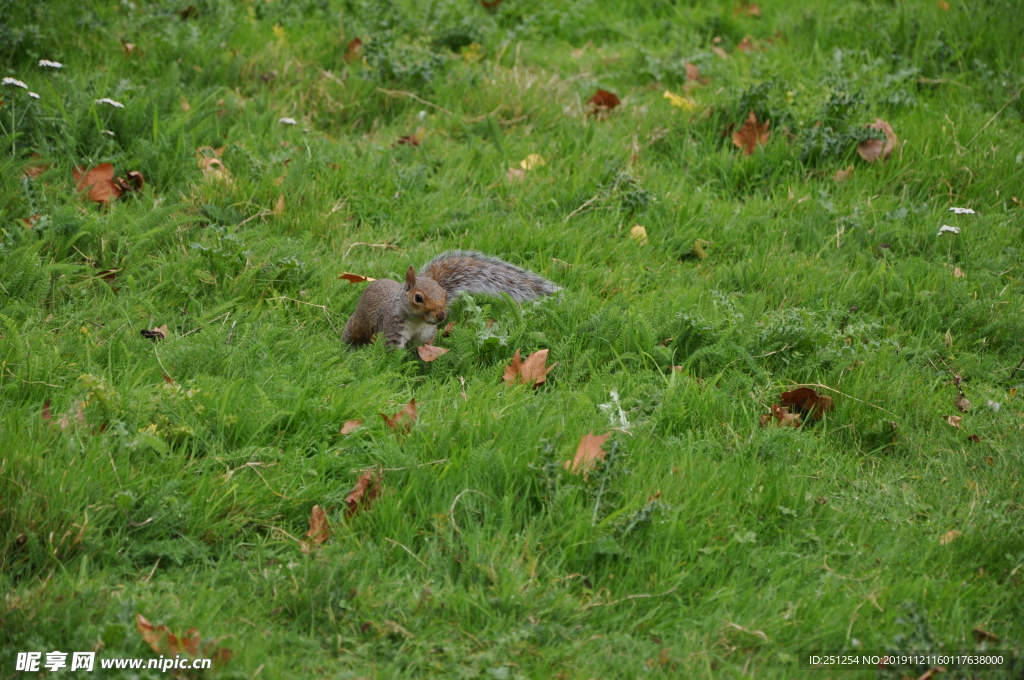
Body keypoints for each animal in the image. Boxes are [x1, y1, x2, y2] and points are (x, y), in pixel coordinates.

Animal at [342, 248, 561, 348]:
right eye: (418, 298)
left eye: (445, 293)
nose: (441, 315)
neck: (417, 323)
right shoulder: (392, 329)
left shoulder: (426, 336)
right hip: (357, 323)